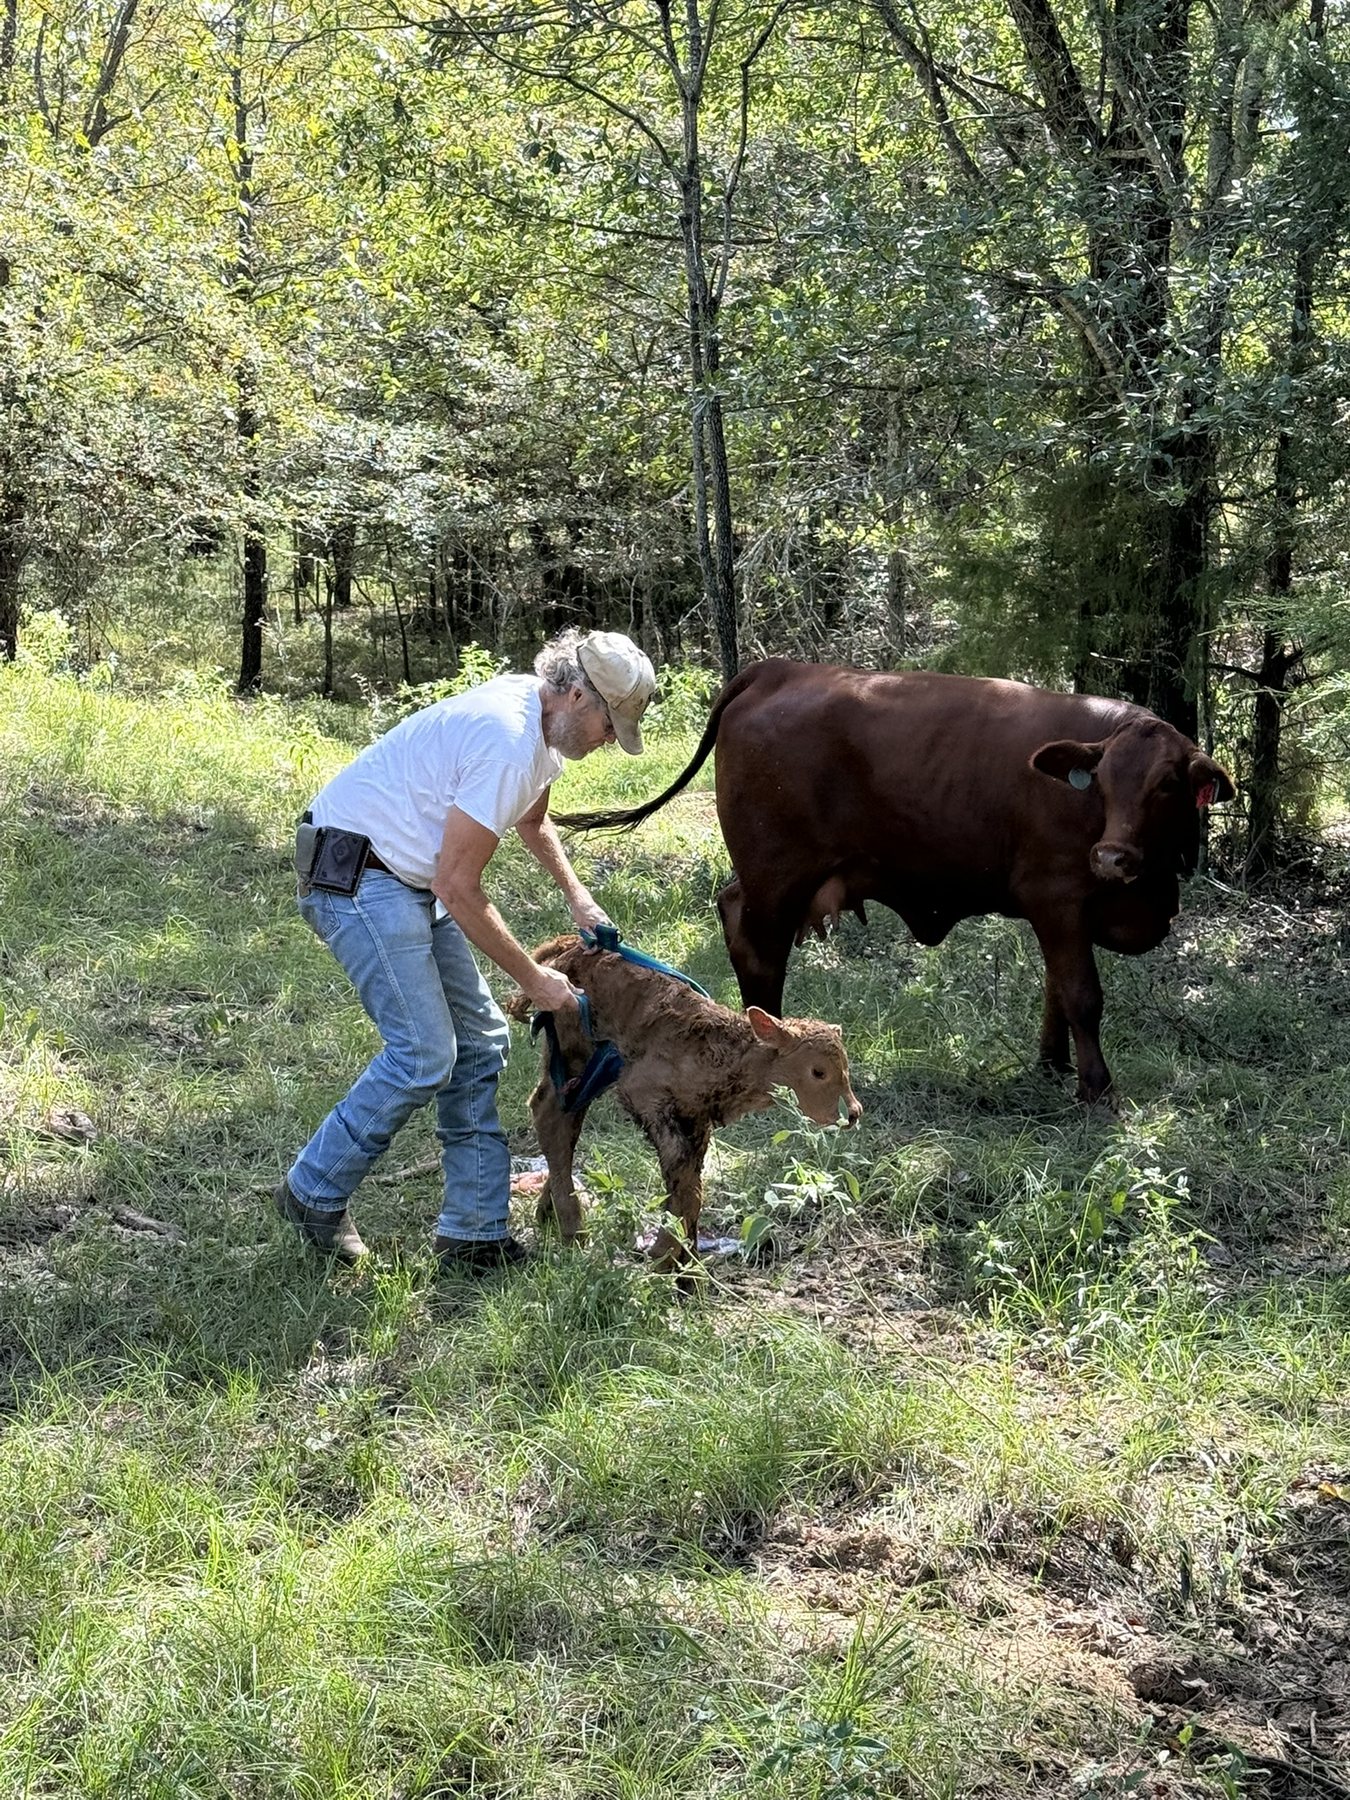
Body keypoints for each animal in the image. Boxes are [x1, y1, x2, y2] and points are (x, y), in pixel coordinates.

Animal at [506, 934, 862, 1270]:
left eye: (845, 1067)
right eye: (818, 1072)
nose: (854, 1113)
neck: (723, 1054)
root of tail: (571, 946)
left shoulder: (698, 1121)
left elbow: (691, 1187)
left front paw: (687, 1266)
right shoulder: (648, 1097)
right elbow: (685, 1188)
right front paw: (665, 1258)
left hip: (589, 1069)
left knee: (564, 1120)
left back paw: (548, 1213)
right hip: (573, 1052)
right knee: (551, 1117)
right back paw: (572, 1229)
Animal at [556, 660, 1235, 1104]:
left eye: (1168, 783)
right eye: (1104, 781)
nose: (1112, 857)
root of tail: (783, 668)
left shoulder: (1060, 914)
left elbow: (1055, 994)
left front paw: (1050, 1067)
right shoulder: (1059, 898)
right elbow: (1082, 997)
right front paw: (1097, 1090)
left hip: (768, 872)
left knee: (732, 908)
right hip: (777, 870)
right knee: (756, 943)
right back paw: (773, 1043)